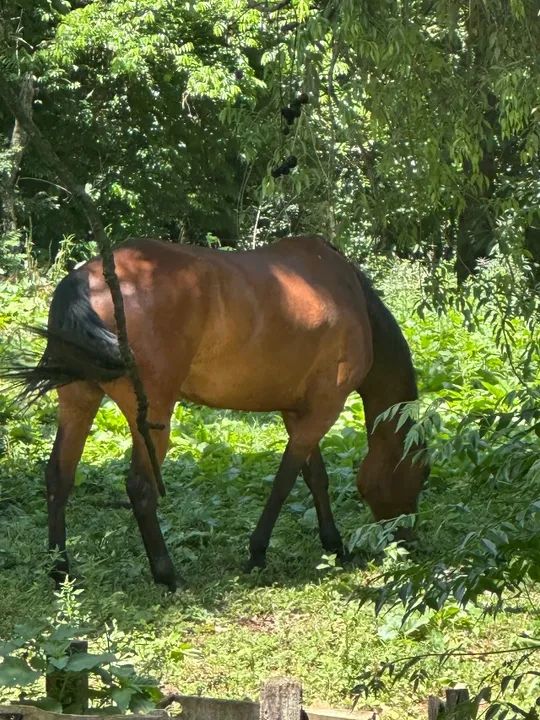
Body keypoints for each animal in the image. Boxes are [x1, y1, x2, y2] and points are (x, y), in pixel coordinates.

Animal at [7, 235, 427, 590]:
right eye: (421, 474)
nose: (410, 542)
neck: (351, 297)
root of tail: (88, 278)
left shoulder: (299, 411)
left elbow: (315, 478)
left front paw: (333, 543)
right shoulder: (325, 408)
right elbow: (285, 481)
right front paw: (258, 552)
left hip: (78, 398)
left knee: (59, 476)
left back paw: (60, 571)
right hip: (153, 418)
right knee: (140, 489)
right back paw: (168, 575)